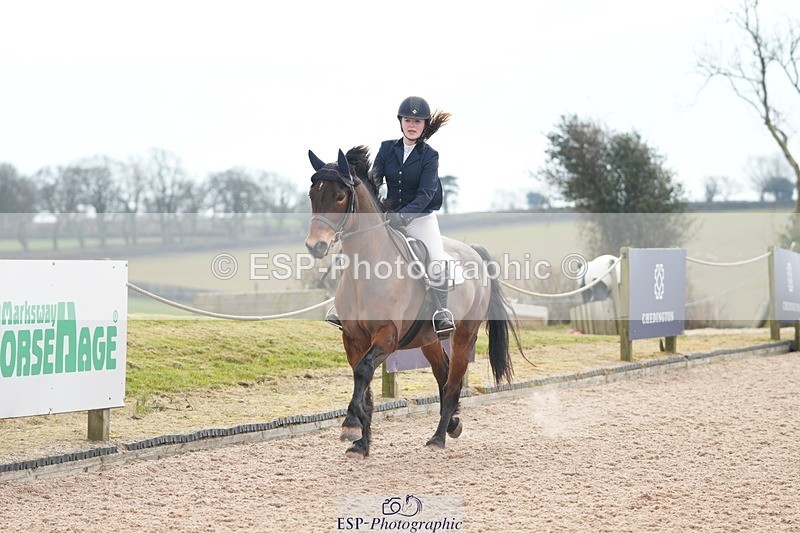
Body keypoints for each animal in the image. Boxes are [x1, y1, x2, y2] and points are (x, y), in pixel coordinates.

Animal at [304, 146, 522, 458]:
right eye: (313, 194)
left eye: (340, 196)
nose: (315, 246)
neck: (365, 269)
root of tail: (474, 253)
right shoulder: (352, 338)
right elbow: (364, 384)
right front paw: (361, 443)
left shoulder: (387, 334)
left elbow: (364, 371)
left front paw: (350, 426)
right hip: (428, 338)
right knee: (443, 374)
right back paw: (452, 423)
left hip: (465, 334)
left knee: (453, 381)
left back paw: (439, 437)